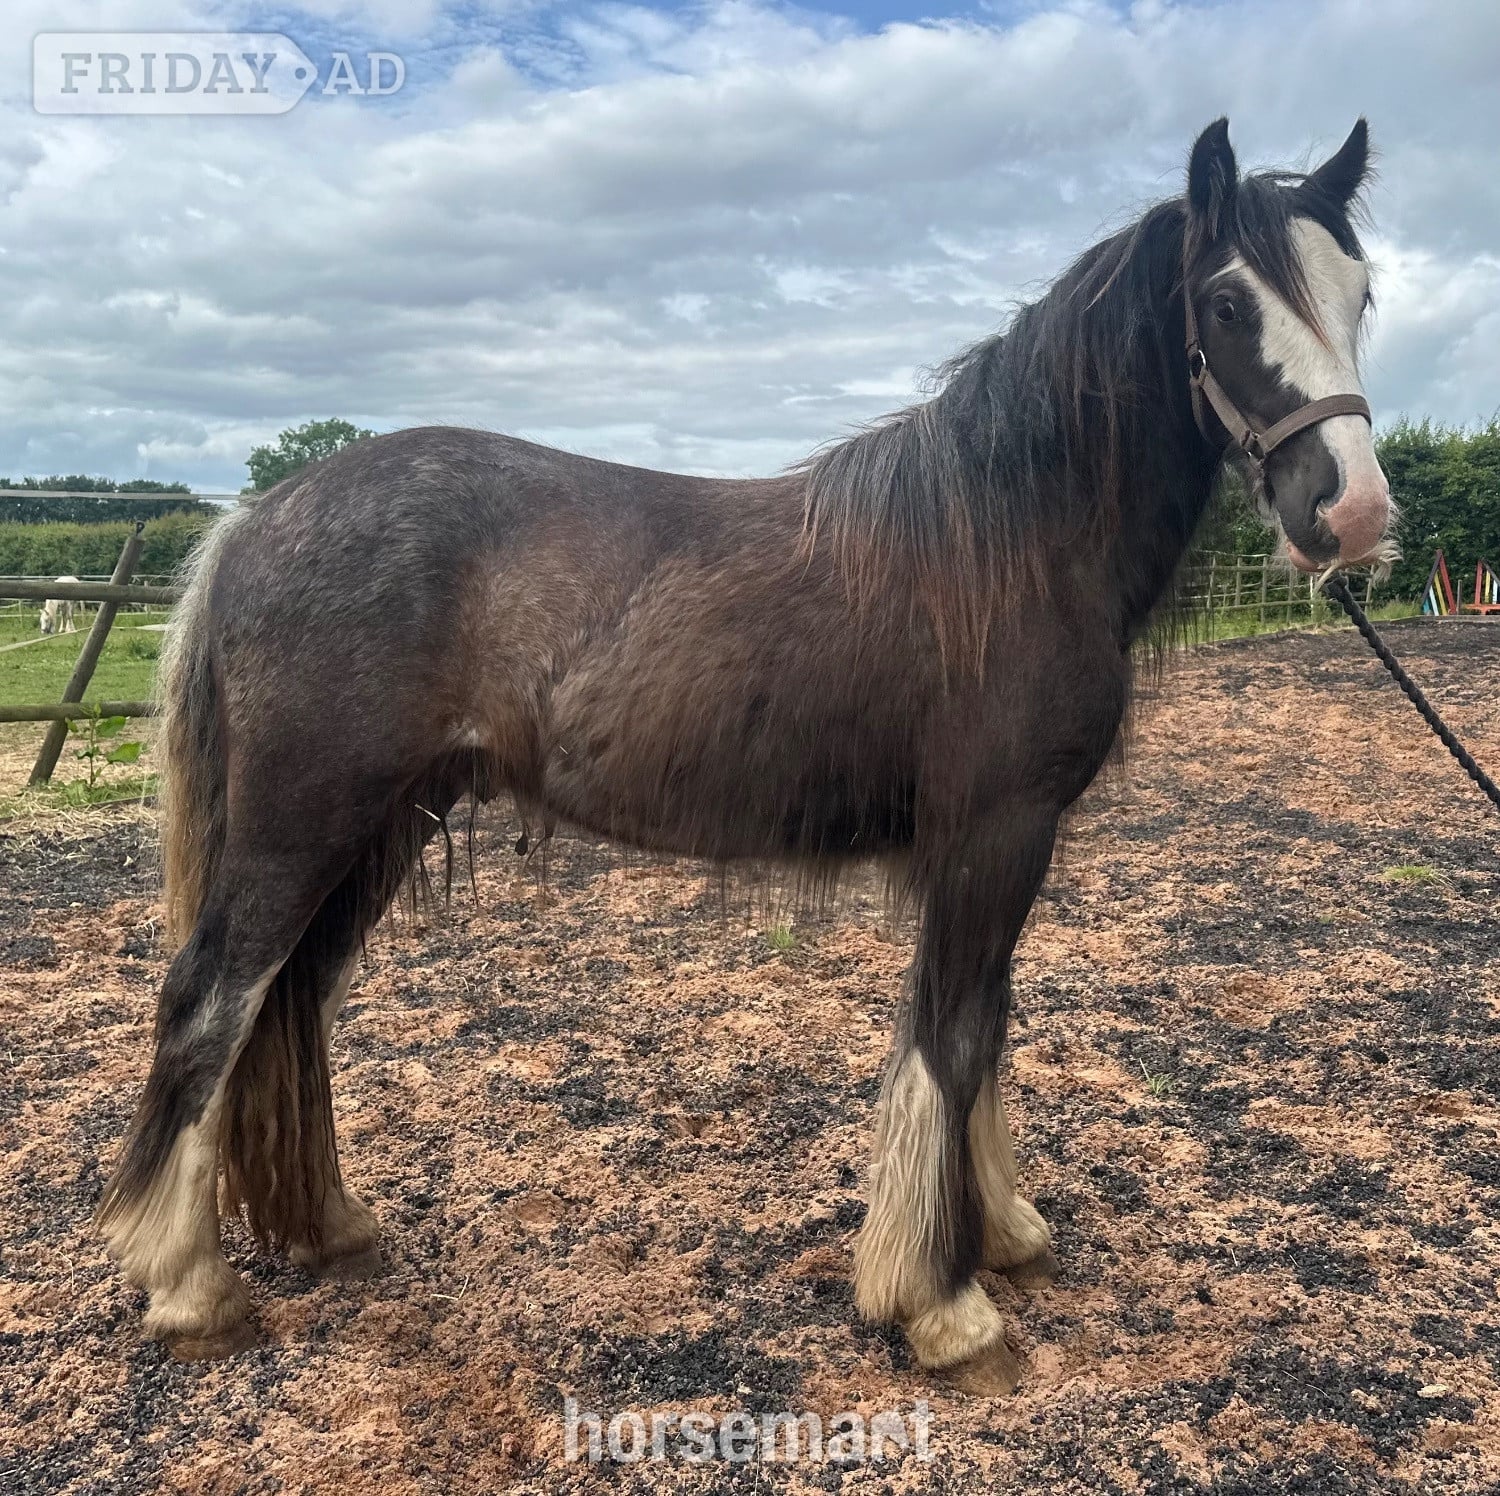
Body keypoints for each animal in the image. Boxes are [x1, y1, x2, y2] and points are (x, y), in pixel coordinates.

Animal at [97, 118, 1393, 1385]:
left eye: (1361, 291)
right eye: (1226, 304)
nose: (1354, 513)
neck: (1011, 539)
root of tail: (253, 522)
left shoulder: (1000, 845)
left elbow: (985, 1025)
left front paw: (1004, 1234)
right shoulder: (994, 833)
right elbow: (952, 1036)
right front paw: (943, 1304)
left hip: (380, 824)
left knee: (290, 999)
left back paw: (326, 1224)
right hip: (302, 822)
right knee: (211, 1002)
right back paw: (190, 1287)